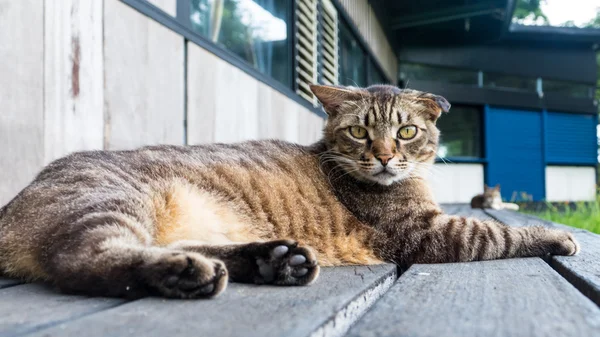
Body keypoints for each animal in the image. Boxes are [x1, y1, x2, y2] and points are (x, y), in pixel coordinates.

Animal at [1, 83, 580, 296]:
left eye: (406, 132)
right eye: (360, 132)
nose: (384, 156)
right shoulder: (426, 233)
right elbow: (497, 234)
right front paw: (555, 237)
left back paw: (272, 261)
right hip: (111, 203)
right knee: (85, 260)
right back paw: (185, 273)